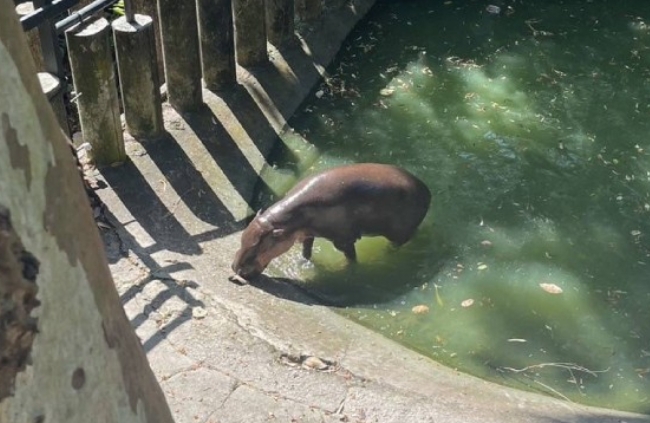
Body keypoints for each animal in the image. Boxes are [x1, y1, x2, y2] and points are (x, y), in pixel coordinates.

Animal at [230, 164, 428, 280]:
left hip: (398, 234)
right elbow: (306, 251)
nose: (234, 269)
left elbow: (351, 259)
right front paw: (304, 264)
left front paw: (344, 270)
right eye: (242, 239)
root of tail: (426, 190)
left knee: (397, 244)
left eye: (256, 248)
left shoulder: (344, 240)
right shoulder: (307, 234)